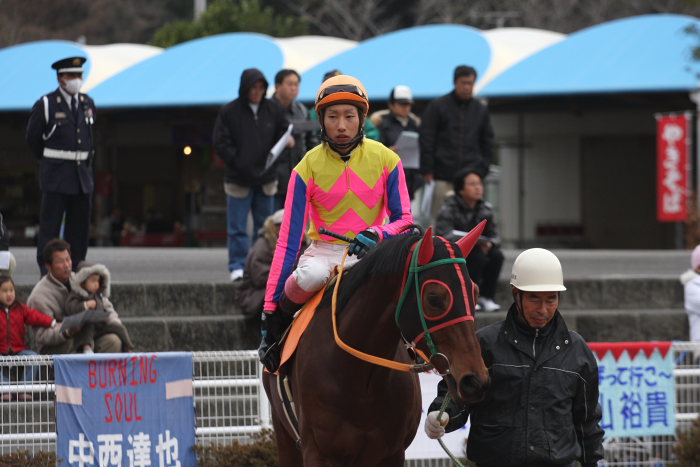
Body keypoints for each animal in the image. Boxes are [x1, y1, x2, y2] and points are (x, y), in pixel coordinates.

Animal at [266, 225, 490, 466]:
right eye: (434, 297)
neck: (358, 383)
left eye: (475, 291)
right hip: (285, 438)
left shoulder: (392, 453)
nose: (474, 380)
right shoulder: (317, 453)